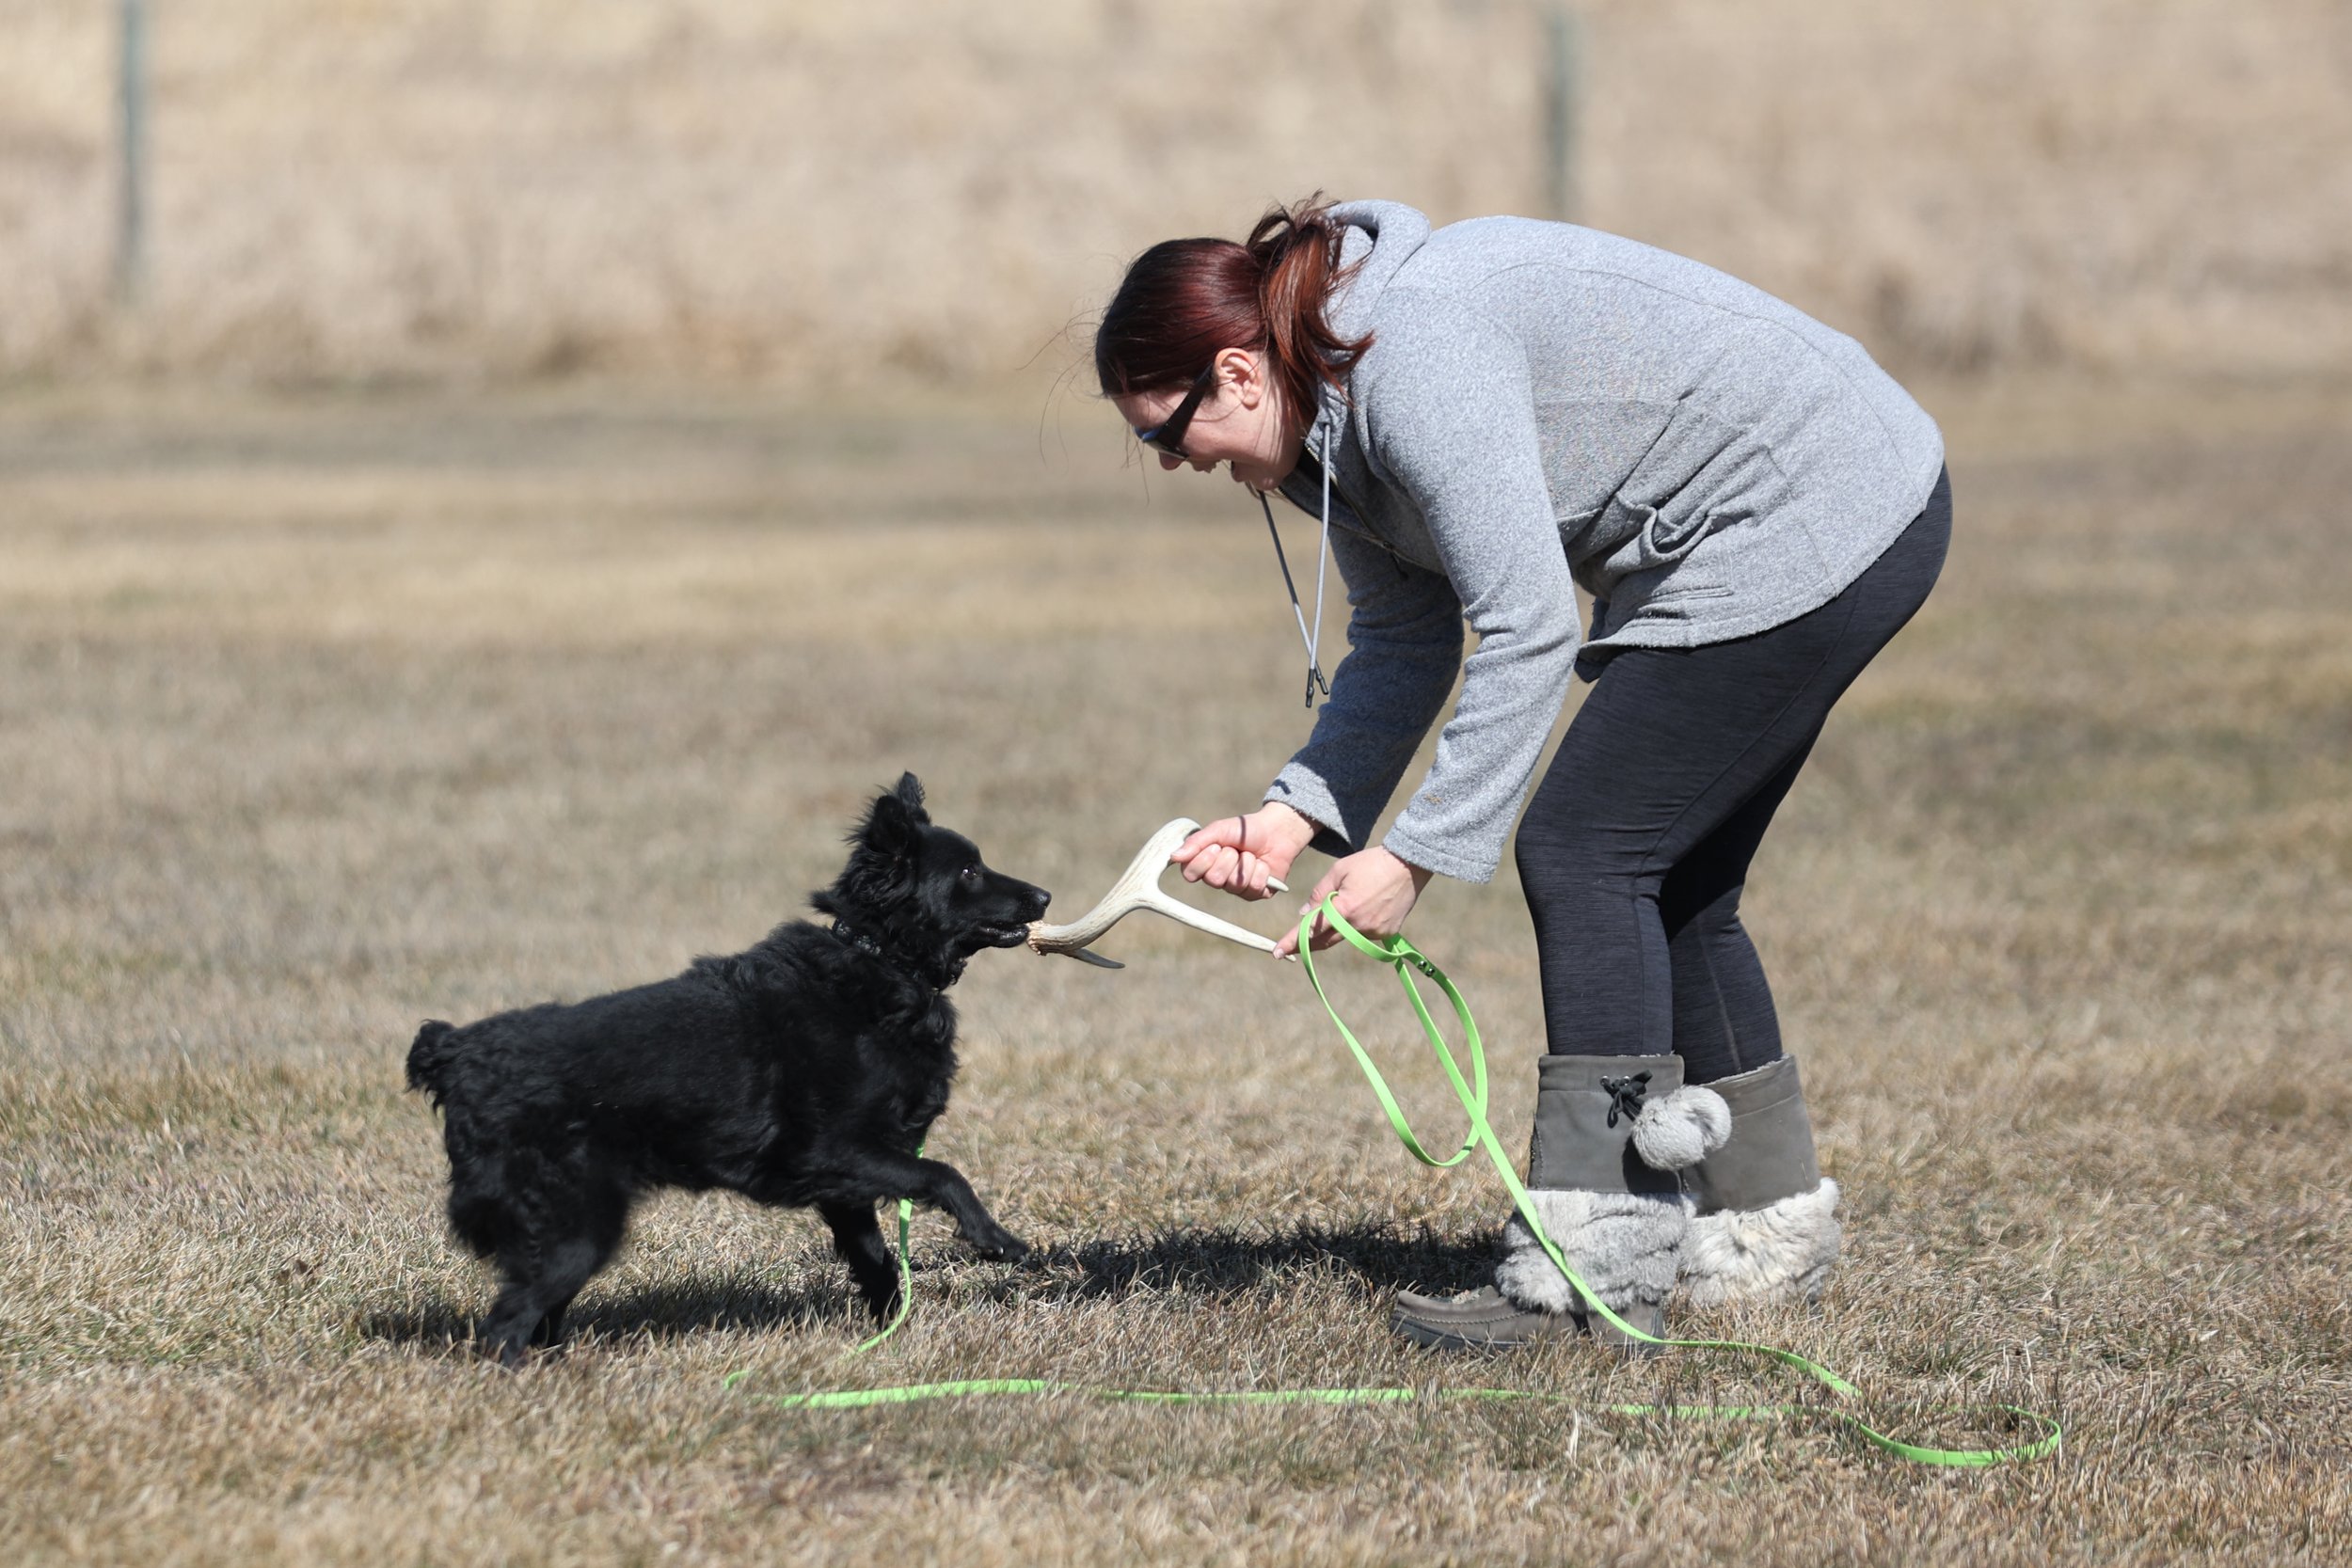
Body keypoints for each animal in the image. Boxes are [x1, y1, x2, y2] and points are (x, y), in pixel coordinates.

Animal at [405, 773, 1050, 1365]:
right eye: (969, 873)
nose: (1044, 896)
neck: (879, 962)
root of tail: (455, 1052)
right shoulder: (832, 1152)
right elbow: (945, 1175)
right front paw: (1000, 1242)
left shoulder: (846, 1184)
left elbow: (875, 1260)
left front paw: (891, 1333)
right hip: (577, 1225)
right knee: (506, 1325)